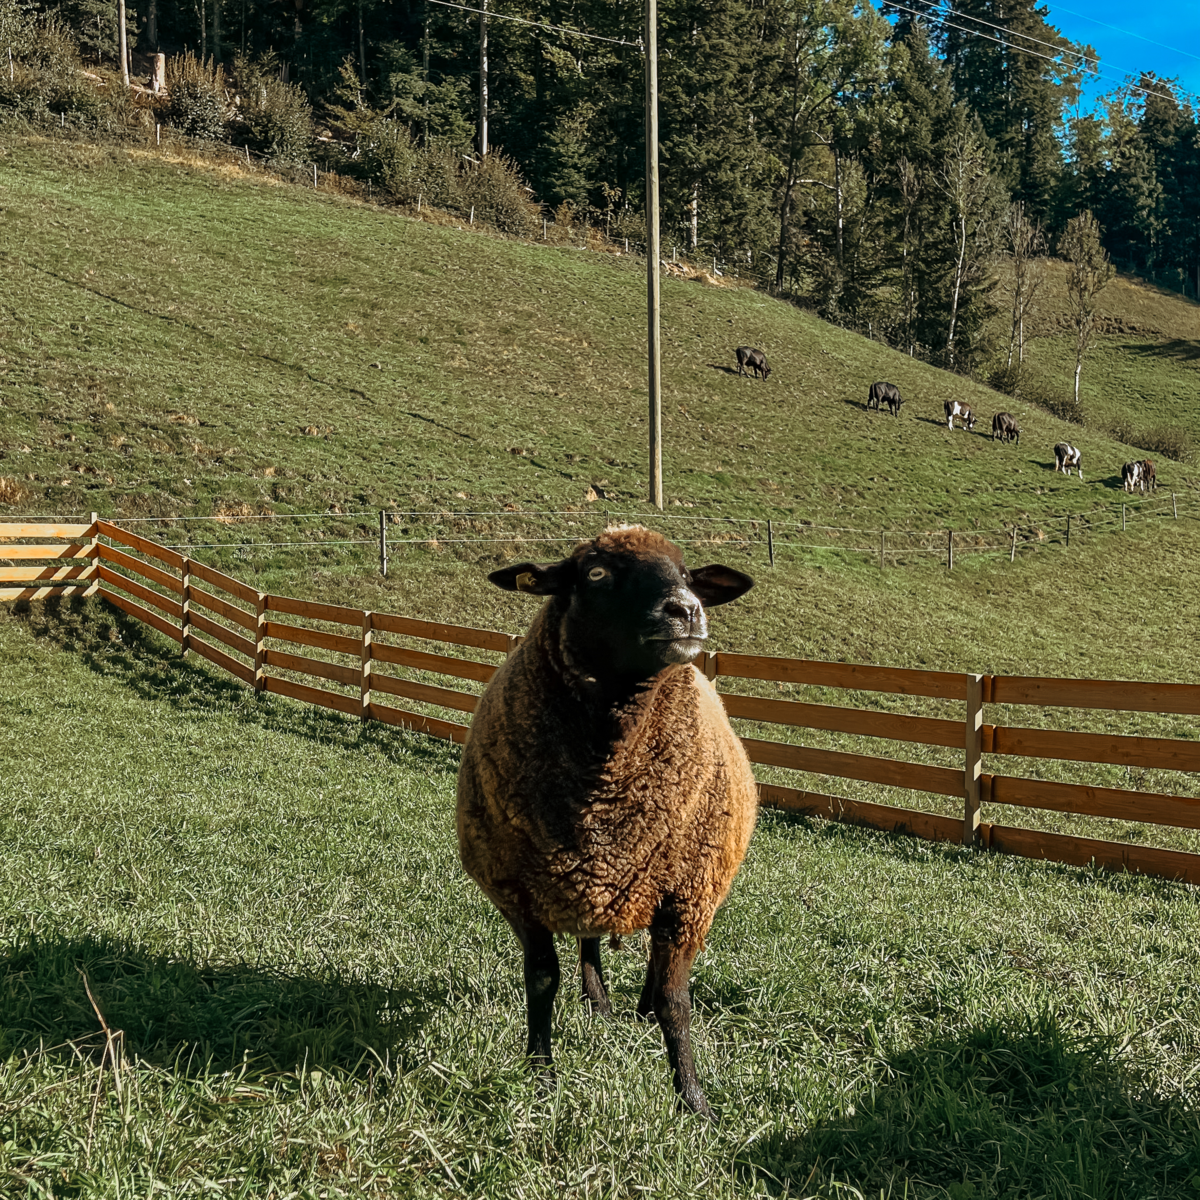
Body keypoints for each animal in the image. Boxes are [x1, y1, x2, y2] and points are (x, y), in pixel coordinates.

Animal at [453, 525, 753, 1113]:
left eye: (688, 574)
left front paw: (693, 1099)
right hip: (588, 879)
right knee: (590, 940)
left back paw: (639, 1007)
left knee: (653, 965)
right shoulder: (519, 891)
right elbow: (542, 980)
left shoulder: (688, 895)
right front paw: (540, 1075)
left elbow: (676, 999)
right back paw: (599, 1003)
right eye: (595, 574)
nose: (686, 610)